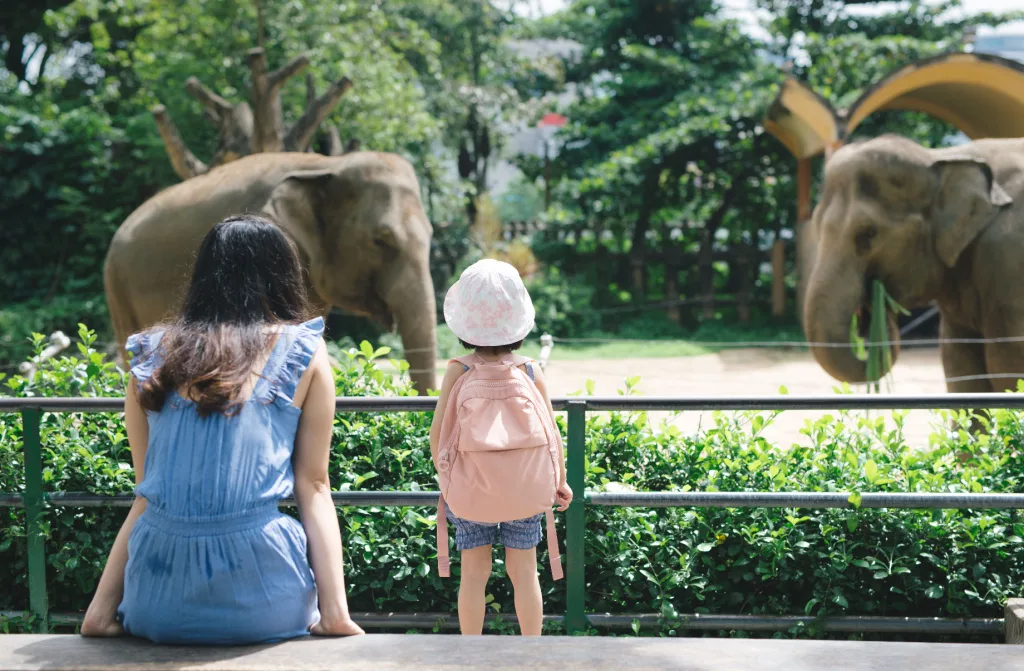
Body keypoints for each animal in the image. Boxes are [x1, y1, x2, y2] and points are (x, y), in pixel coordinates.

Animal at [802, 134, 1019, 393]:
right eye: (815, 226)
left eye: (868, 233)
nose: (872, 298)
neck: (939, 157)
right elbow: (961, 367)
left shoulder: (1006, 261)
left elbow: (1006, 367)